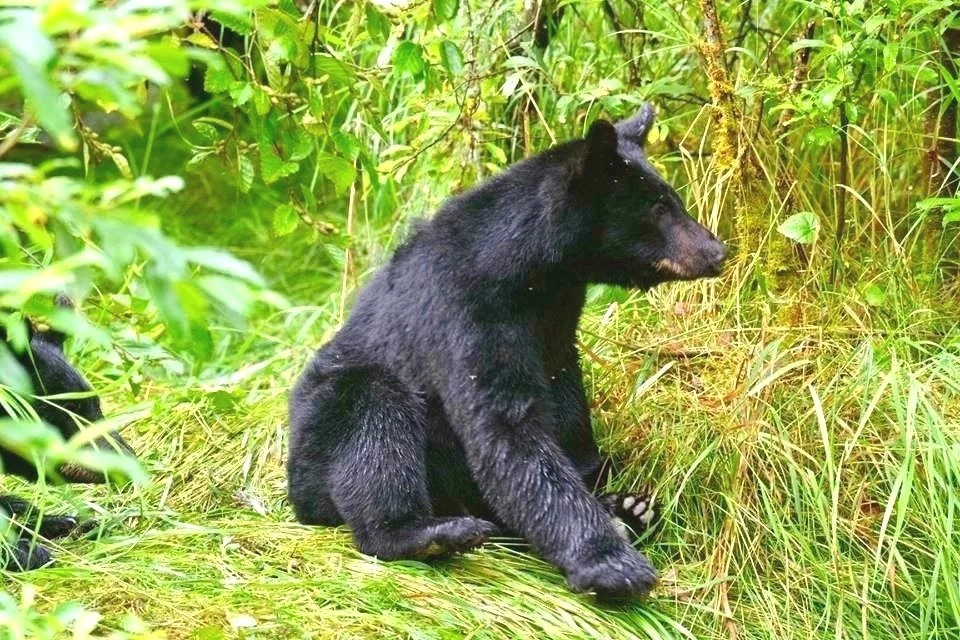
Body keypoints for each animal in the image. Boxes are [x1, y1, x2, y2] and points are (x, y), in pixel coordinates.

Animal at [287, 104, 725, 598]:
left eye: (673, 199)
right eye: (659, 207)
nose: (717, 251)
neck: (531, 271)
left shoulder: (556, 318)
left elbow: (564, 395)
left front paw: (602, 487)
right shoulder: (467, 310)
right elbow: (506, 428)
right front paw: (611, 564)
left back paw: (629, 509)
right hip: (327, 424)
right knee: (374, 424)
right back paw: (429, 533)